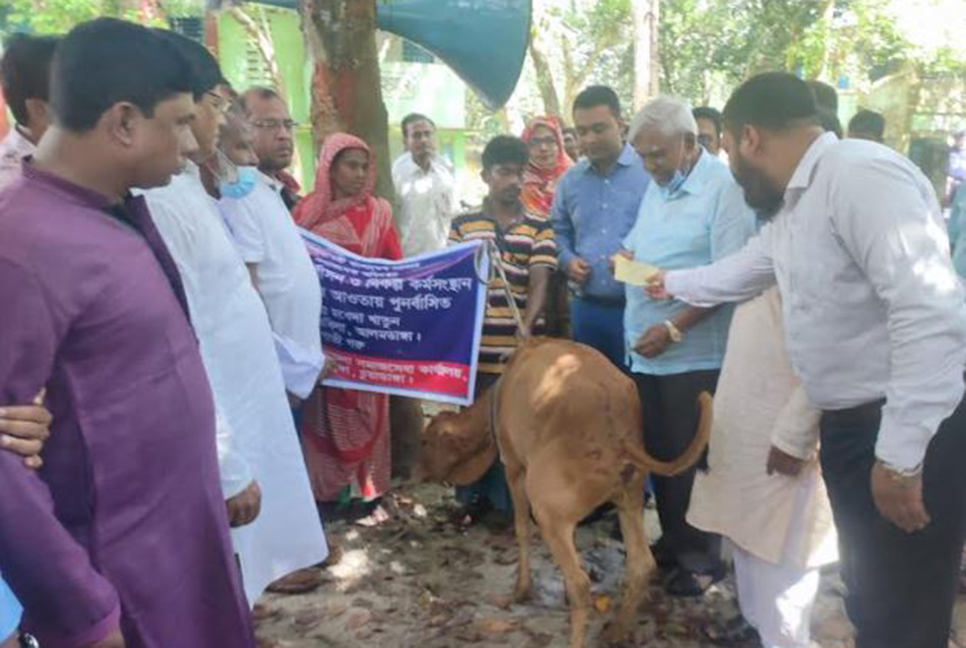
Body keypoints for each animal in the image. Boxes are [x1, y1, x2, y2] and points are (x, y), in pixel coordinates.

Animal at [416, 340, 712, 648]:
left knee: (580, 584)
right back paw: (616, 631)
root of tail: (618, 429)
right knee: (642, 565)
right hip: (628, 498)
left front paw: (521, 589)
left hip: (549, 510)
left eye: (425, 441)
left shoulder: (514, 467)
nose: (413, 472)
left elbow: (522, 529)